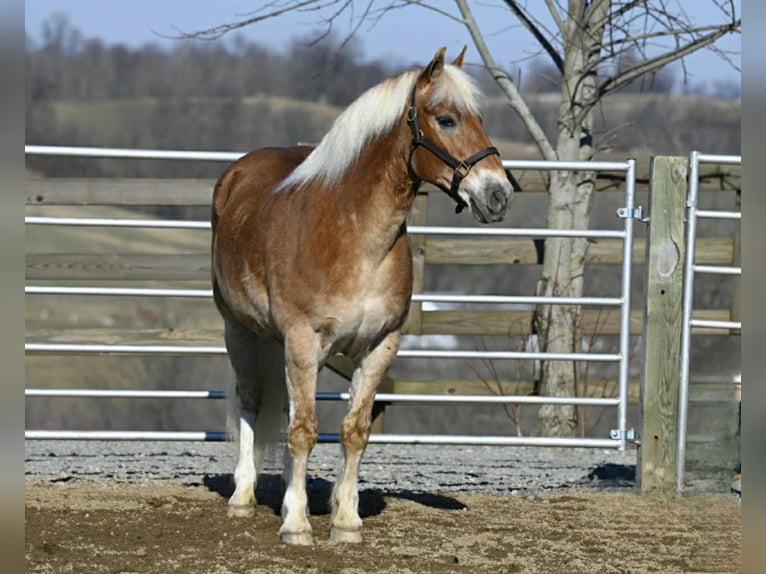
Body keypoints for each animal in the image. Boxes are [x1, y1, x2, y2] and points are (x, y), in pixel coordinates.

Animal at [210, 47, 516, 548]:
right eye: (447, 119)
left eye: (481, 118)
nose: (499, 195)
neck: (353, 237)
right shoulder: (302, 341)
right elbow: (304, 432)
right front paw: (296, 526)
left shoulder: (379, 347)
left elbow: (352, 432)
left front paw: (346, 521)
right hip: (239, 330)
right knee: (251, 402)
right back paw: (243, 496)